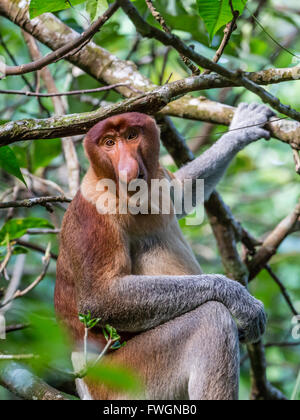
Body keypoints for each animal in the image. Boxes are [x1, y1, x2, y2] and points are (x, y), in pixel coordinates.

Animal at [55, 103, 276, 398]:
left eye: (132, 136)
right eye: (109, 143)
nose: (127, 169)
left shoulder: (159, 178)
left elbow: (181, 193)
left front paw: (243, 128)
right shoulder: (93, 218)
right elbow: (100, 298)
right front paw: (240, 299)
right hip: (125, 377)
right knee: (211, 320)